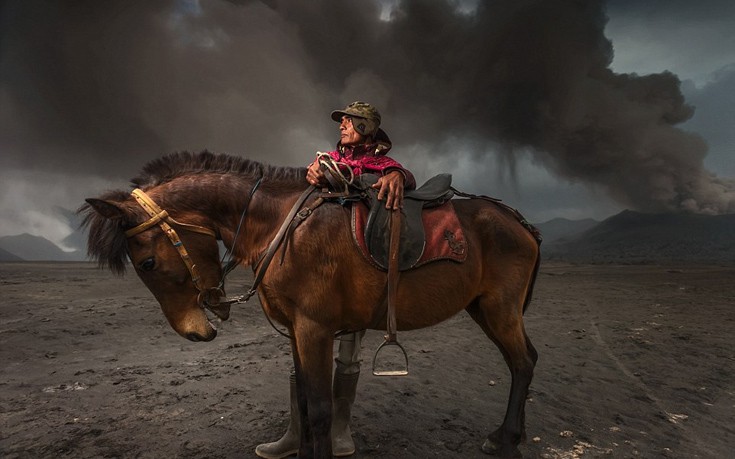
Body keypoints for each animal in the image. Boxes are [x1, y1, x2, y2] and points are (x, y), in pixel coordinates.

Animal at [82, 150, 540, 456]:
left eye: (147, 262)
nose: (194, 332)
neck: (280, 226)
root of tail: (518, 221)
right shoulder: (294, 331)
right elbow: (301, 400)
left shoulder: (314, 328)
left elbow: (319, 409)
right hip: (485, 308)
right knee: (525, 359)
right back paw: (508, 435)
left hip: (499, 309)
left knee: (522, 363)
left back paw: (506, 440)